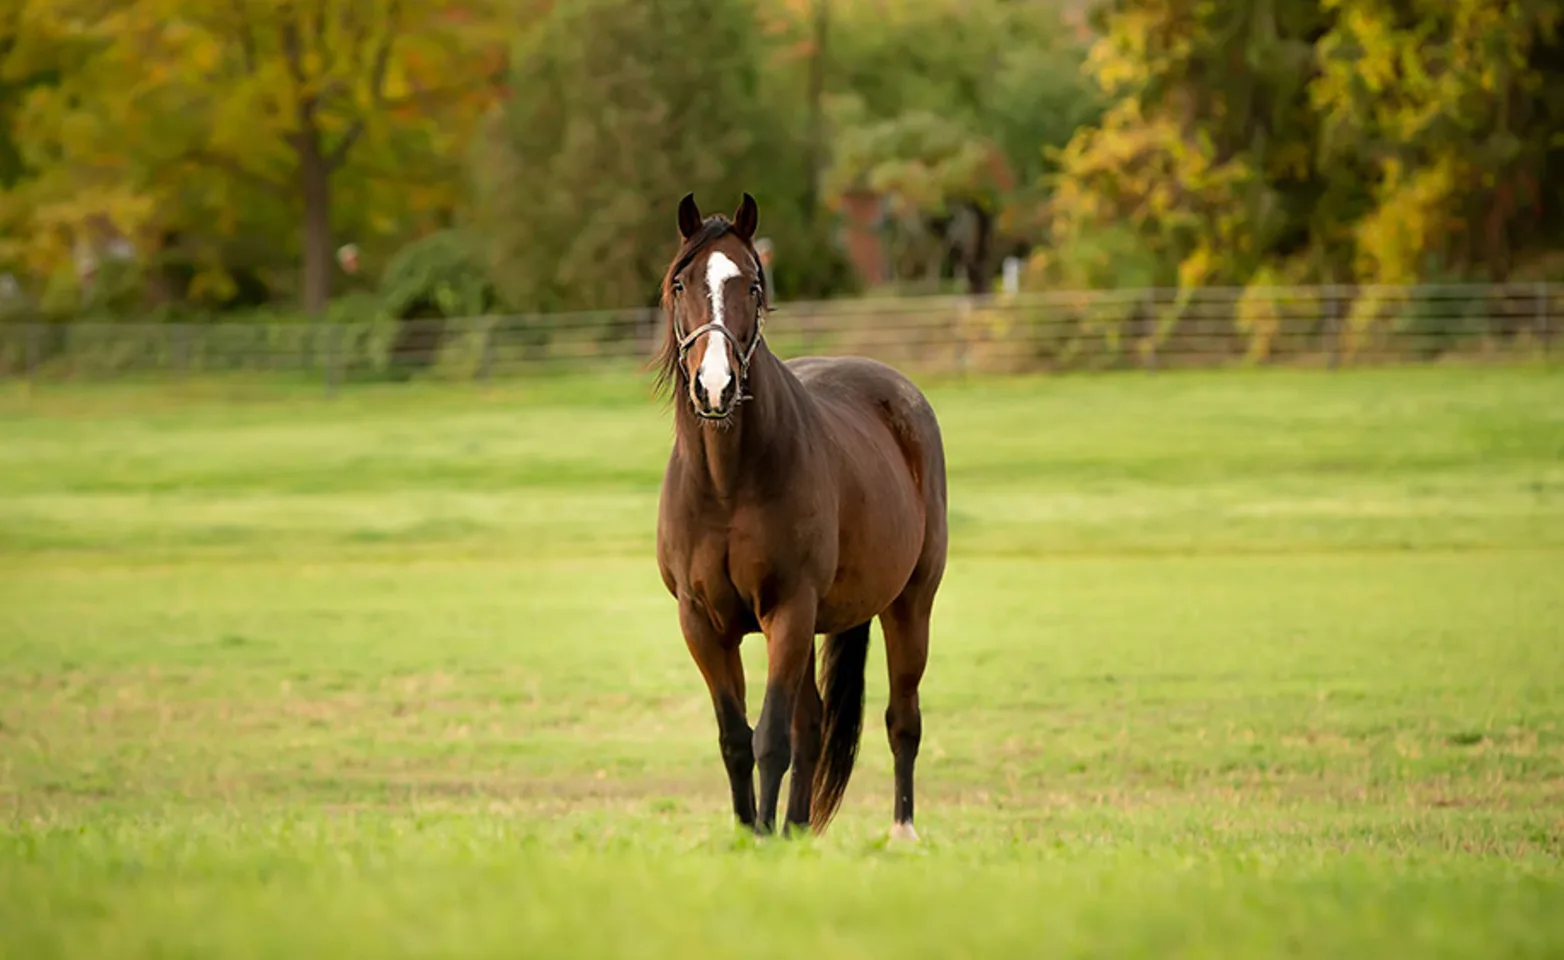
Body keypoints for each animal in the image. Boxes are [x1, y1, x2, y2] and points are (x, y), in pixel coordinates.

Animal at [652, 192, 949, 841]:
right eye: (682, 282)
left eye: (753, 284)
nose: (715, 385)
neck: (727, 483)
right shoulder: (701, 623)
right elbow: (736, 739)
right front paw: (751, 833)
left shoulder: (788, 611)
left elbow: (771, 738)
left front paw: (764, 836)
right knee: (812, 727)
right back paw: (795, 830)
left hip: (909, 604)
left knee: (902, 718)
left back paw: (902, 830)